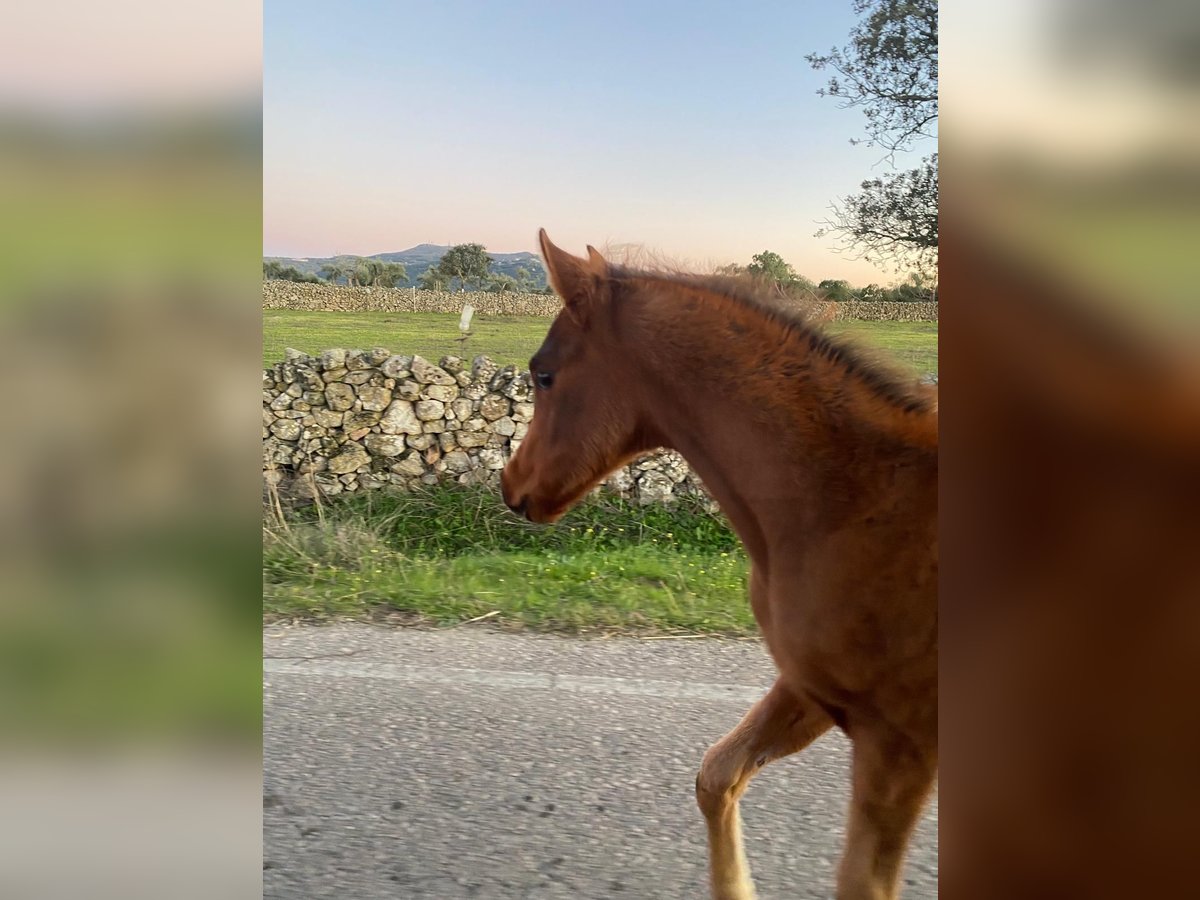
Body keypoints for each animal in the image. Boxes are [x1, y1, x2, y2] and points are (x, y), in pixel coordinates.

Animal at [501, 234, 940, 900]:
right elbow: (717, 776)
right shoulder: (810, 688)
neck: (853, 497)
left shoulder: (900, 743)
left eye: (543, 373)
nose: (511, 484)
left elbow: (861, 883)